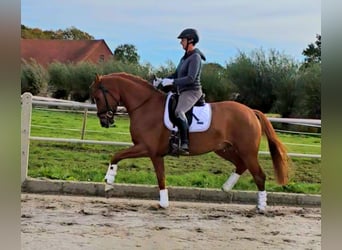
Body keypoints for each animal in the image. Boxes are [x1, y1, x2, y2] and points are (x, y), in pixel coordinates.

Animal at [89, 72, 290, 213]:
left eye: (97, 97)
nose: (104, 121)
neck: (145, 105)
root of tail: (250, 111)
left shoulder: (147, 149)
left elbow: (118, 156)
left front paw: (109, 182)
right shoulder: (155, 153)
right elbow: (160, 177)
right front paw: (163, 203)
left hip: (247, 151)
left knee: (259, 175)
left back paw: (261, 207)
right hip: (224, 149)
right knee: (241, 165)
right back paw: (226, 187)